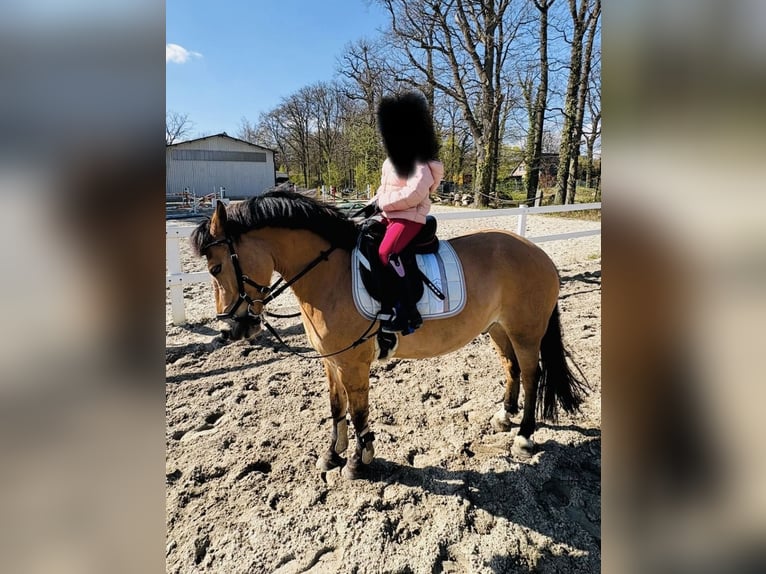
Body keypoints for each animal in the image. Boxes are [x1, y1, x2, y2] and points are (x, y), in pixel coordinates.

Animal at [191, 190, 586, 479]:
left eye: (216, 268)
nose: (232, 329)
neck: (328, 275)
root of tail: (538, 253)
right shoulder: (332, 362)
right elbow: (336, 408)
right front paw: (332, 455)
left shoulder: (353, 363)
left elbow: (358, 412)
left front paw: (358, 460)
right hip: (498, 329)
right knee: (511, 368)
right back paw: (505, 416)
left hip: (525, 332)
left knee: (532, 374)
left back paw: (525, 436)